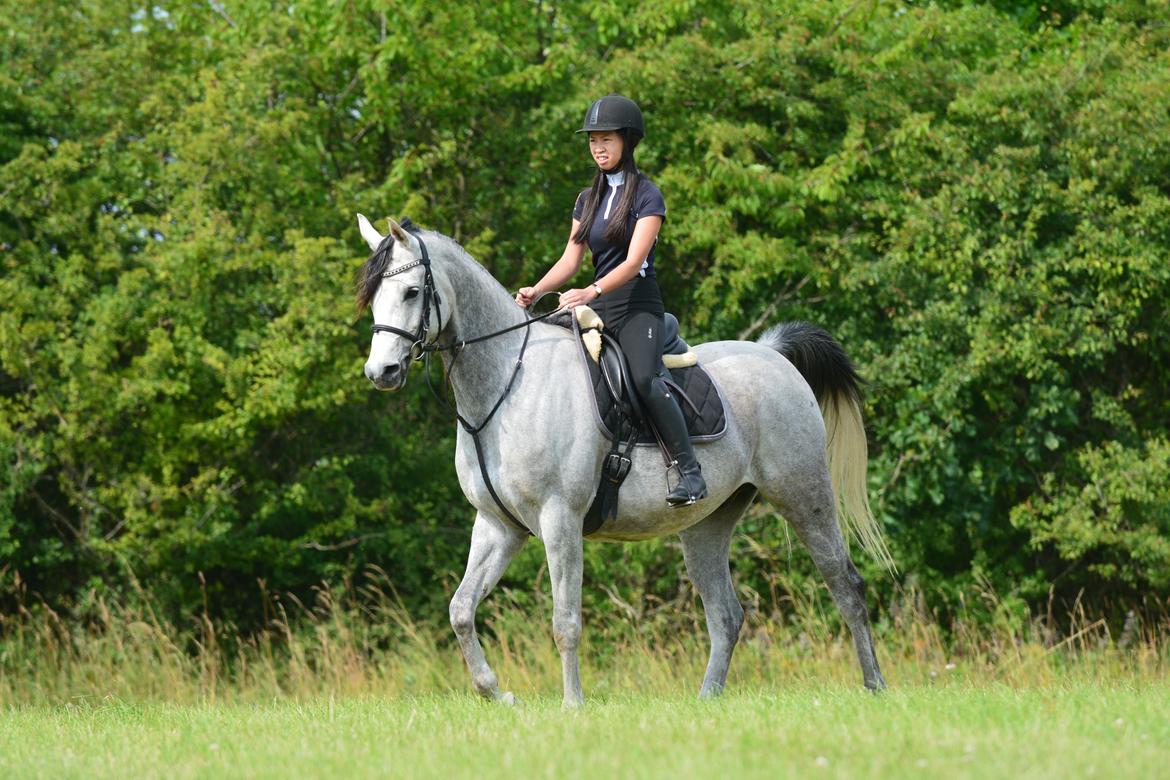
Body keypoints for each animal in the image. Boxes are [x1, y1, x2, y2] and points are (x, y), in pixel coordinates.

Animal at [355, 214, 893, 706]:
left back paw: (874, 686)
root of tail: (773, 354)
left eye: (410, 292)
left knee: (845, 585)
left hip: (803, 494)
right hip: (707, 524)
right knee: (726, 615)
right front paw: (497, 694)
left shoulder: (560, 519)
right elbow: (461, 609)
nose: (381, 372)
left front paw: (572, 705)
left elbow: (565, 621)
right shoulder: (498, 525)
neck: (508, 379)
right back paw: (707, 700)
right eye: (374, 297)